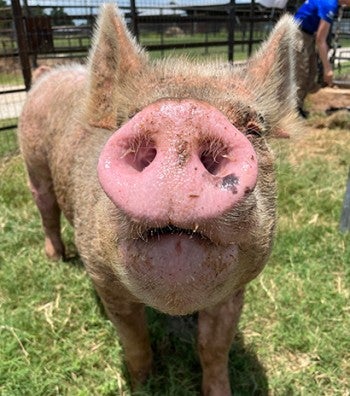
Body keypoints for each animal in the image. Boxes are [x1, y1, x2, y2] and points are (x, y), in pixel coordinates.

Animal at [17, 4, 298, 394]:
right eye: (128, 117)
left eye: (254, 129)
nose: (181, 114)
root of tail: (50, 72)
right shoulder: (103, 278)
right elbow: (135, 340)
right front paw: (141, 383)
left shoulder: (236, 288)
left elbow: (213, 347)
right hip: (33, 160)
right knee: (45, 206)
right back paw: (56, 258)